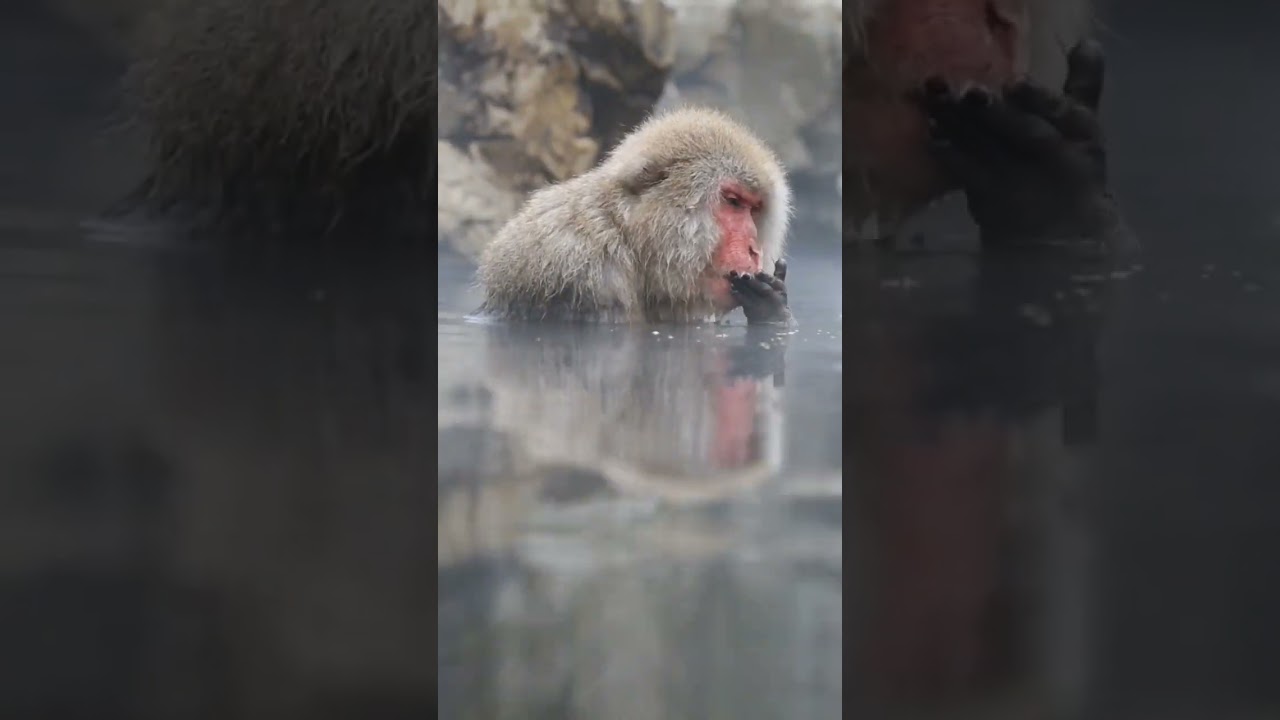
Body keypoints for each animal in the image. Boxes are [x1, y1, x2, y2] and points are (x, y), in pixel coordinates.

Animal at [476, 106, 793, 325]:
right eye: (733, 202)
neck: (632, 245)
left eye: (754, 208)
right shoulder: (577, 270)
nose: (754, 249)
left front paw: (772, 306)